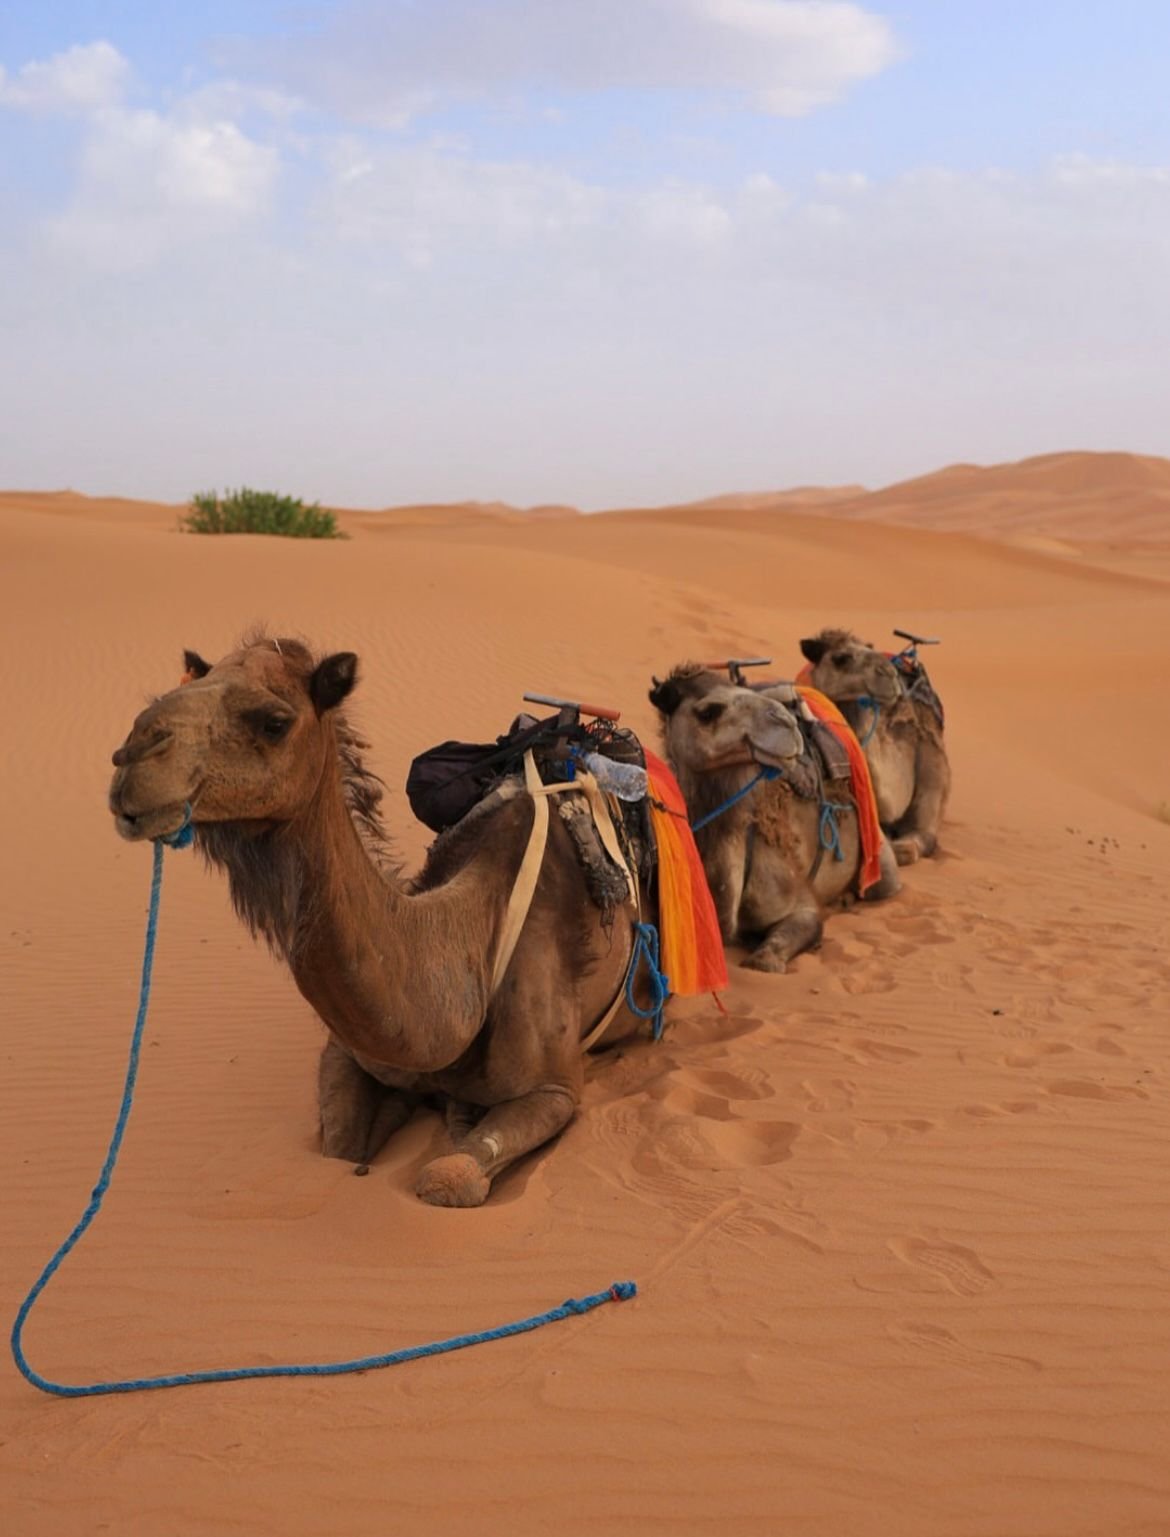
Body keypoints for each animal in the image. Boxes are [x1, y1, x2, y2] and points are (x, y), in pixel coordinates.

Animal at [108, 634, 653, 1207]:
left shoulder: (556, 1088)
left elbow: (448, 1178)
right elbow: (337, 1150)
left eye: (274, 721)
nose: (132, 755)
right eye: (190, 683)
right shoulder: (346, 1055)